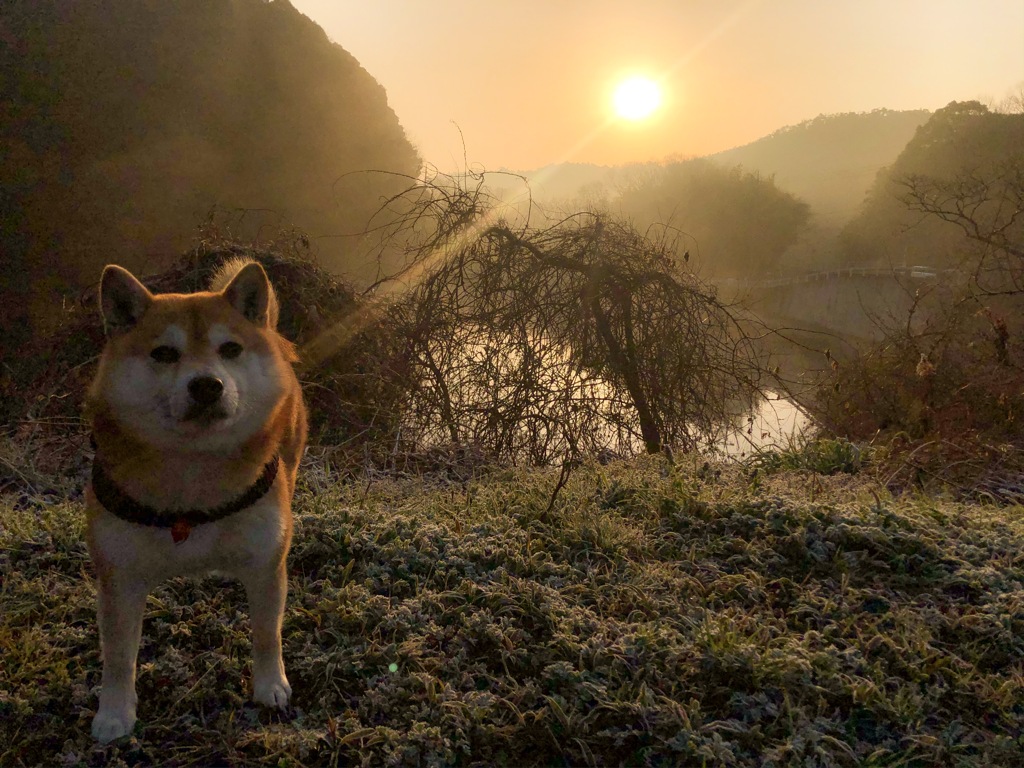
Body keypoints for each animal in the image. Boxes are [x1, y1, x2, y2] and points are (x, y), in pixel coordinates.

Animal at [84, 260, 305, 745]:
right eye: (165, 353)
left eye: (230, 349)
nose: (206, 385)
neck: (193, 484)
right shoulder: (119, 578)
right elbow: (119, 656)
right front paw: (114, 713)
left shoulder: (266, 564)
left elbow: (267, 634)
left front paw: (270, 687)